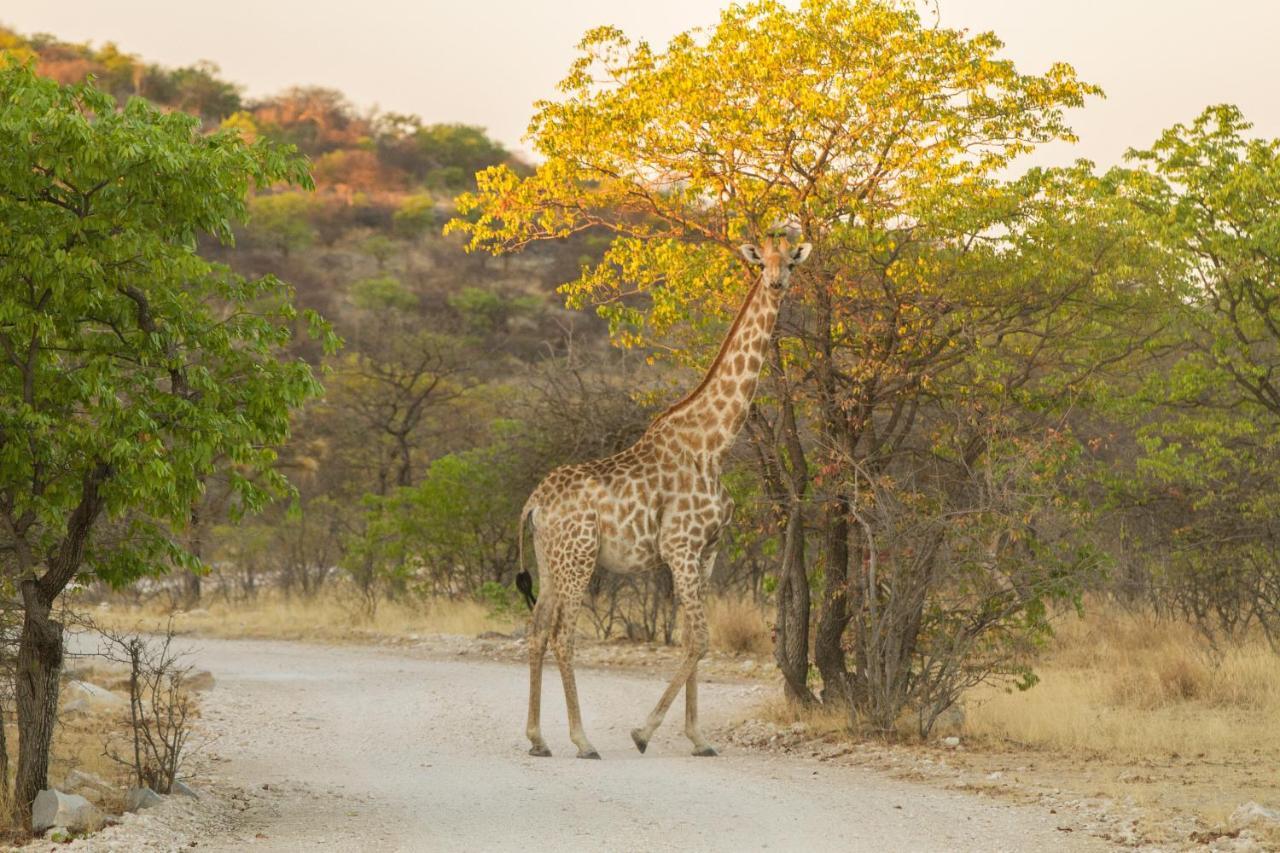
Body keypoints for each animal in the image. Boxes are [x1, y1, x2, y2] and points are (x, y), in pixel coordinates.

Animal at [517, 233, 808, 758]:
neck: (715, 442)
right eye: (764, 263)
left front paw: (698, 739)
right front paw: (643, 732)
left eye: (791, 262)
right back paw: (582, 740)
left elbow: (691, 639)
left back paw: (538, 739)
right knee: (563, 637)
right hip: (578, 558)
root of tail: (534, 504)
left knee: (535, 632)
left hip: (550, 561)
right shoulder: (680, 546)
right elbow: (700, 641)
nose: (777, 283)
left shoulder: (706, 552)